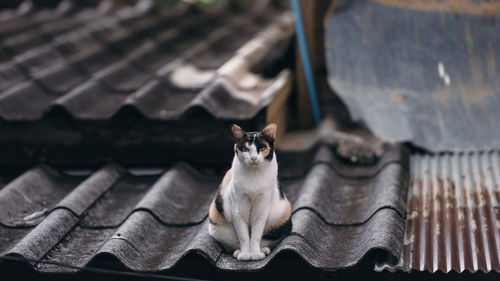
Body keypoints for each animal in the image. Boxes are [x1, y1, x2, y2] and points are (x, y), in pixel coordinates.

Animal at [208, 122, 292, 260]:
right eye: (245, 149)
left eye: (262, 148)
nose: (253, 158)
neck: (254, 175)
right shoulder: (238, 209)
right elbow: (244, 236)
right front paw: (245, 254)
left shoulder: (262, 208)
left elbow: (256, 234)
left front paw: (255, 253)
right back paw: (238, 252)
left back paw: (263, 250)